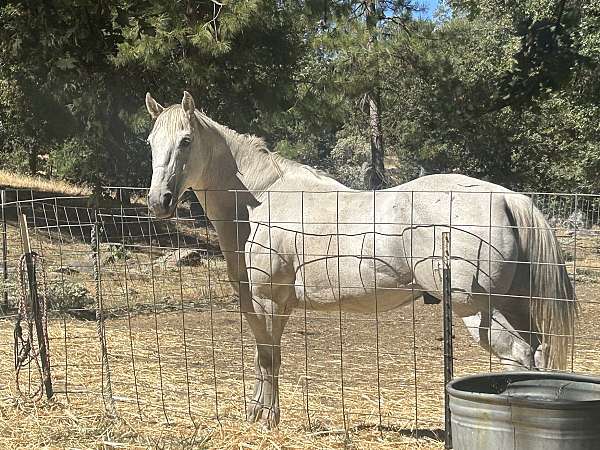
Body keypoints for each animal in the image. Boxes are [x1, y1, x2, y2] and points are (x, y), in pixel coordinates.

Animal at [144, 90, 576, 426]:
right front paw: (257, 412)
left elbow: (270, 358)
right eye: (151, 142)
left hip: (479, 310)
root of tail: (508, 197)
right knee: (536, 352)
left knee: (518, 356)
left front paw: (267, 418)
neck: (260, 200)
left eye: (185, 141)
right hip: (513, 304)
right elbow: (263, 355)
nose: (158, 201)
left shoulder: (268, 300)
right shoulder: (263, 304)